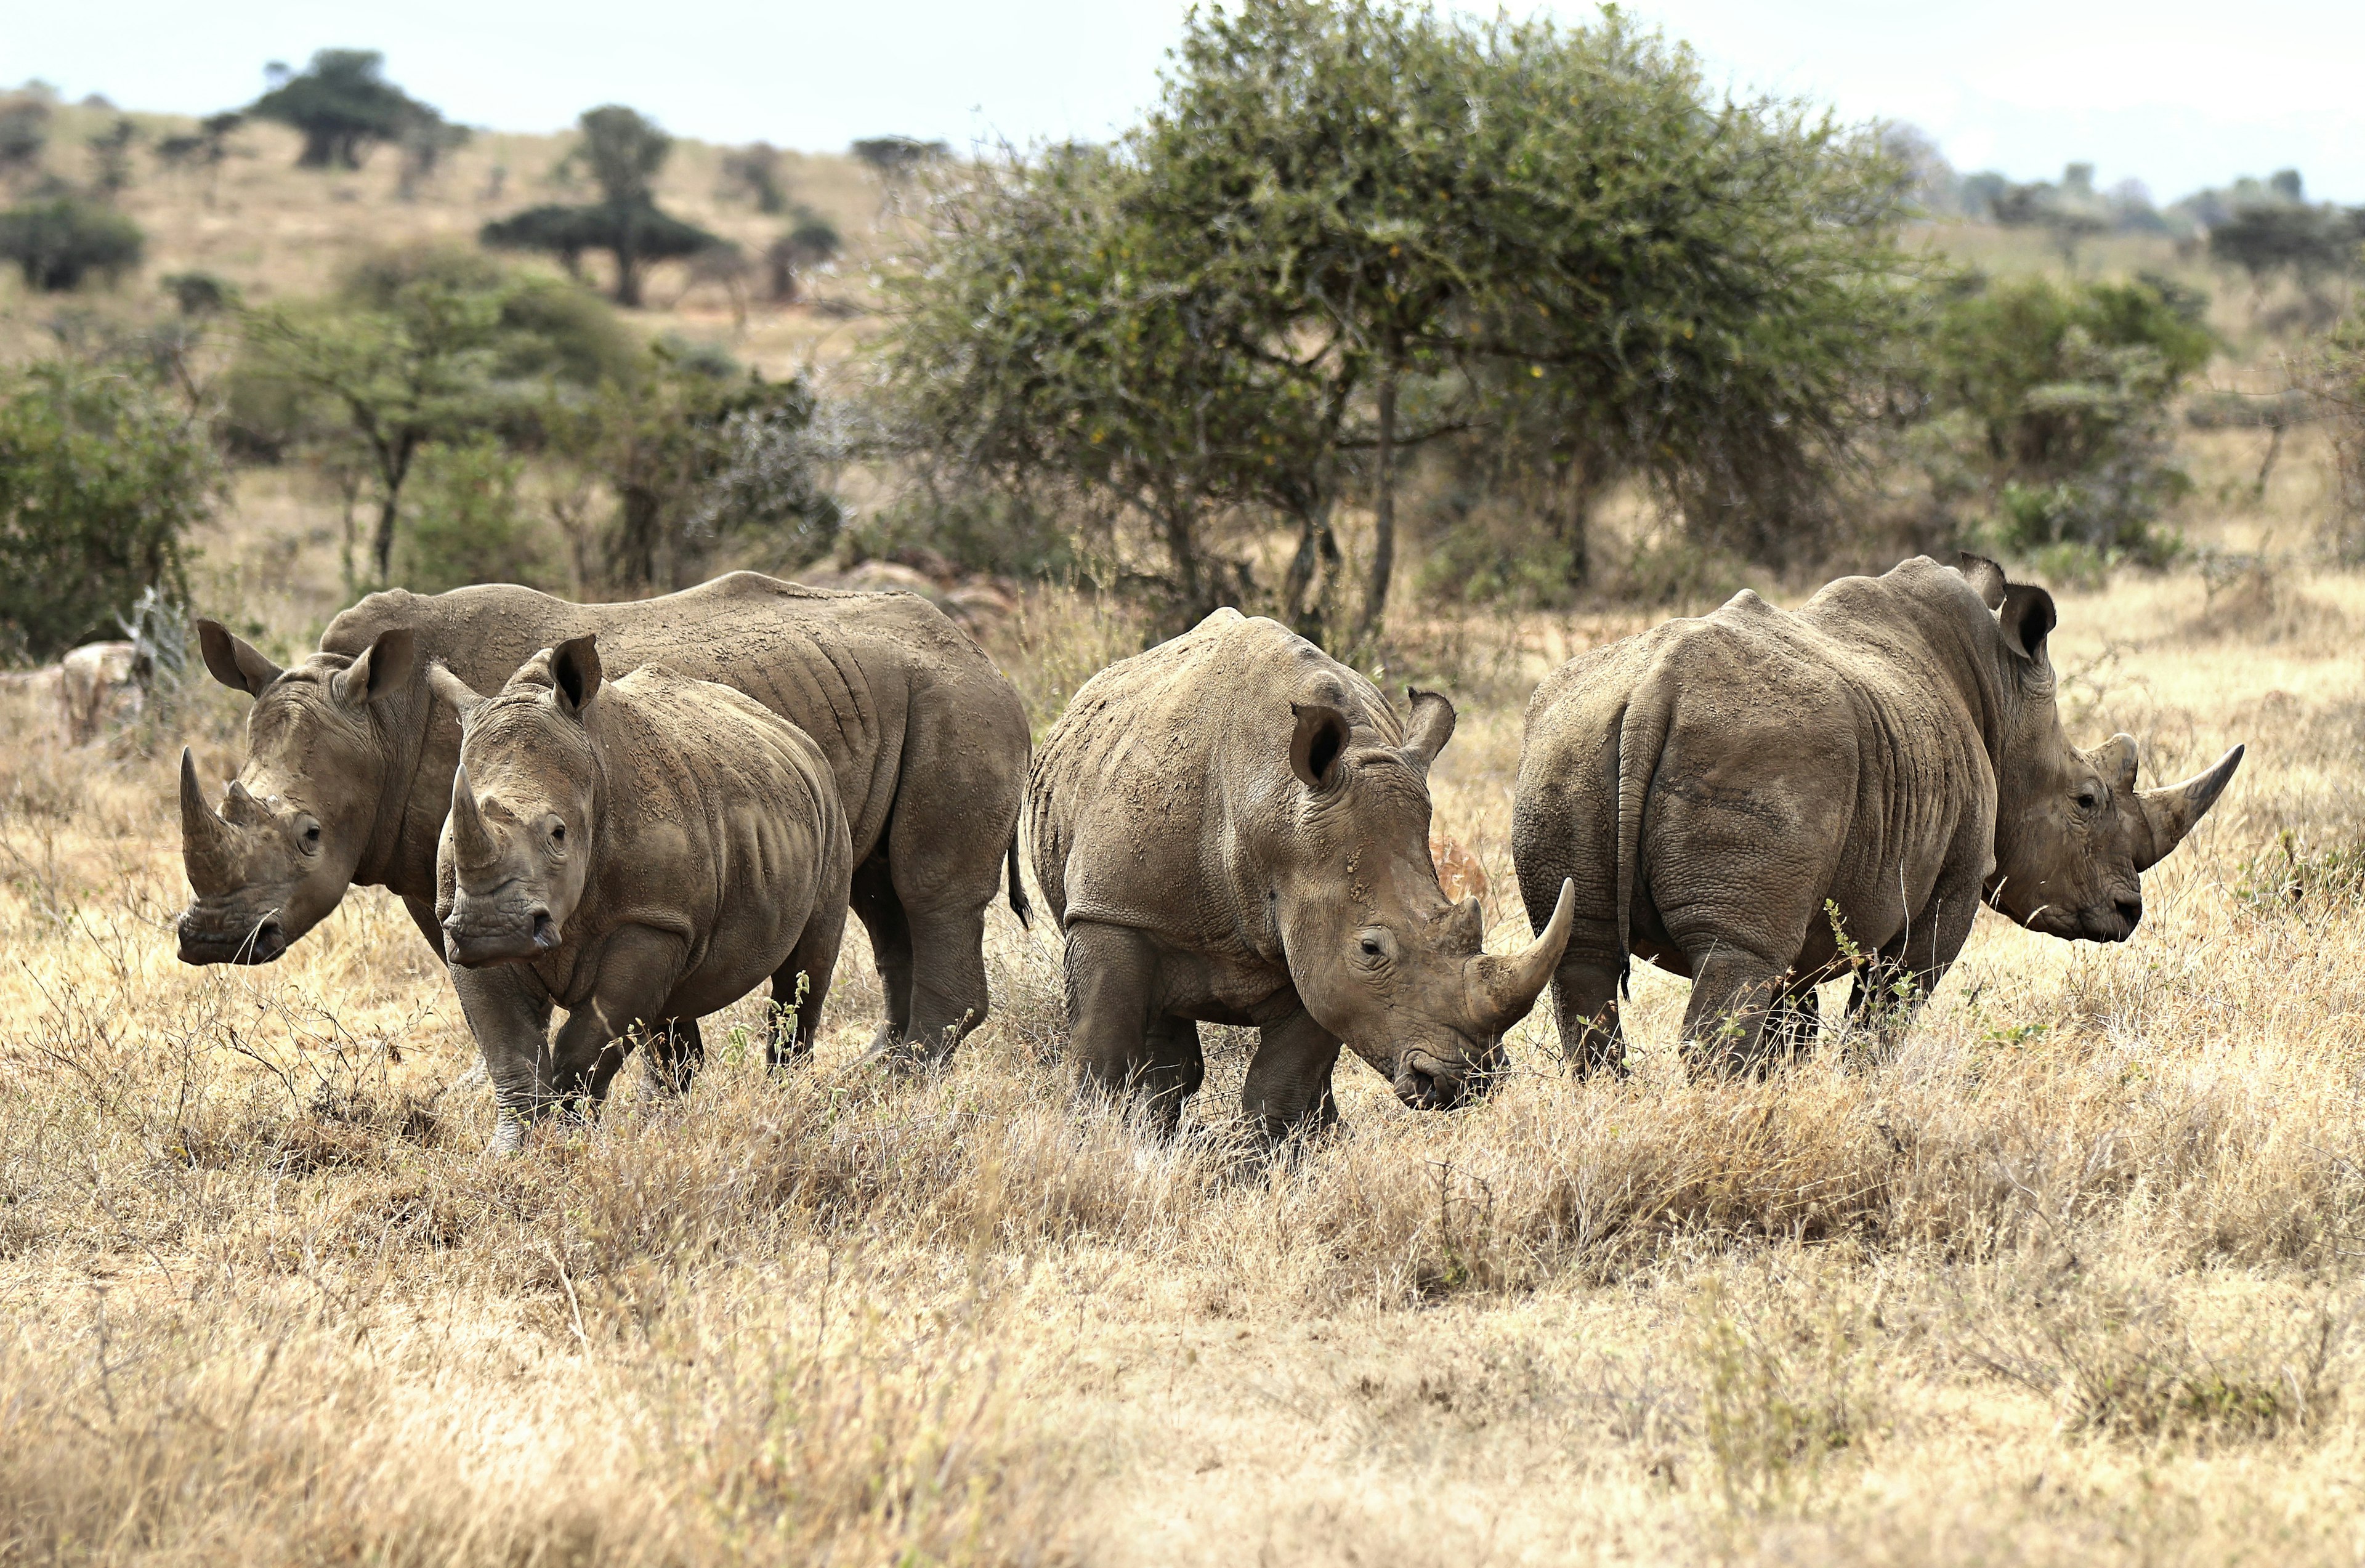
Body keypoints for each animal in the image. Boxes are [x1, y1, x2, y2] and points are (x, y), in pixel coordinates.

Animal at [174, 573, 1029, 1067]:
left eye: (310, 835)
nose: (213, 939)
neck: (383, 719)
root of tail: (983, 654)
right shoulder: (436, 870)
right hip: (893, 700)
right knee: (881, 894)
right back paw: (876, 1075)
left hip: (955, 703)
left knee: (927, 893)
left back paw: (889, 1086)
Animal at [427, 638, 851, 1147]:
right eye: (453, 834)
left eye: (559, 834)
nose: (494, 930)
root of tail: (797, 737)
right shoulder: (459, 921)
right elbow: (511, 1051)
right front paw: (514, 1152)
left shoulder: (649, 921)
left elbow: (588, 1046)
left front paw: (570, 1145)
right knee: (668, 1017)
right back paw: (663, 1127)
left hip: (829, 812)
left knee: (804, 977)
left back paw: (786, 1109)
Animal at [1028, 609, 1575, 1135]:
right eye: (1370, 949)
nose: (1467, 1081)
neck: (1271, 807)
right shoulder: (1110, 911)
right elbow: (1101, 1054)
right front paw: (1090, 1144)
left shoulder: (1317, 930)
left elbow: (1283, 1078)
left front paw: (1265, 1159)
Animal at [1510, 554, 2243, 1071]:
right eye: (2087, 800)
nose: (2129, 911)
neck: (2004, 700)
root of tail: (1654, 689)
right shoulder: (1948, 888)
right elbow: (1888, 1008)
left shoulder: (1809, 907)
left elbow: (1791, 1025)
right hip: (1763, 747)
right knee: (1732, 958)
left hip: (1567, 741)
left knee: (1584, 957)